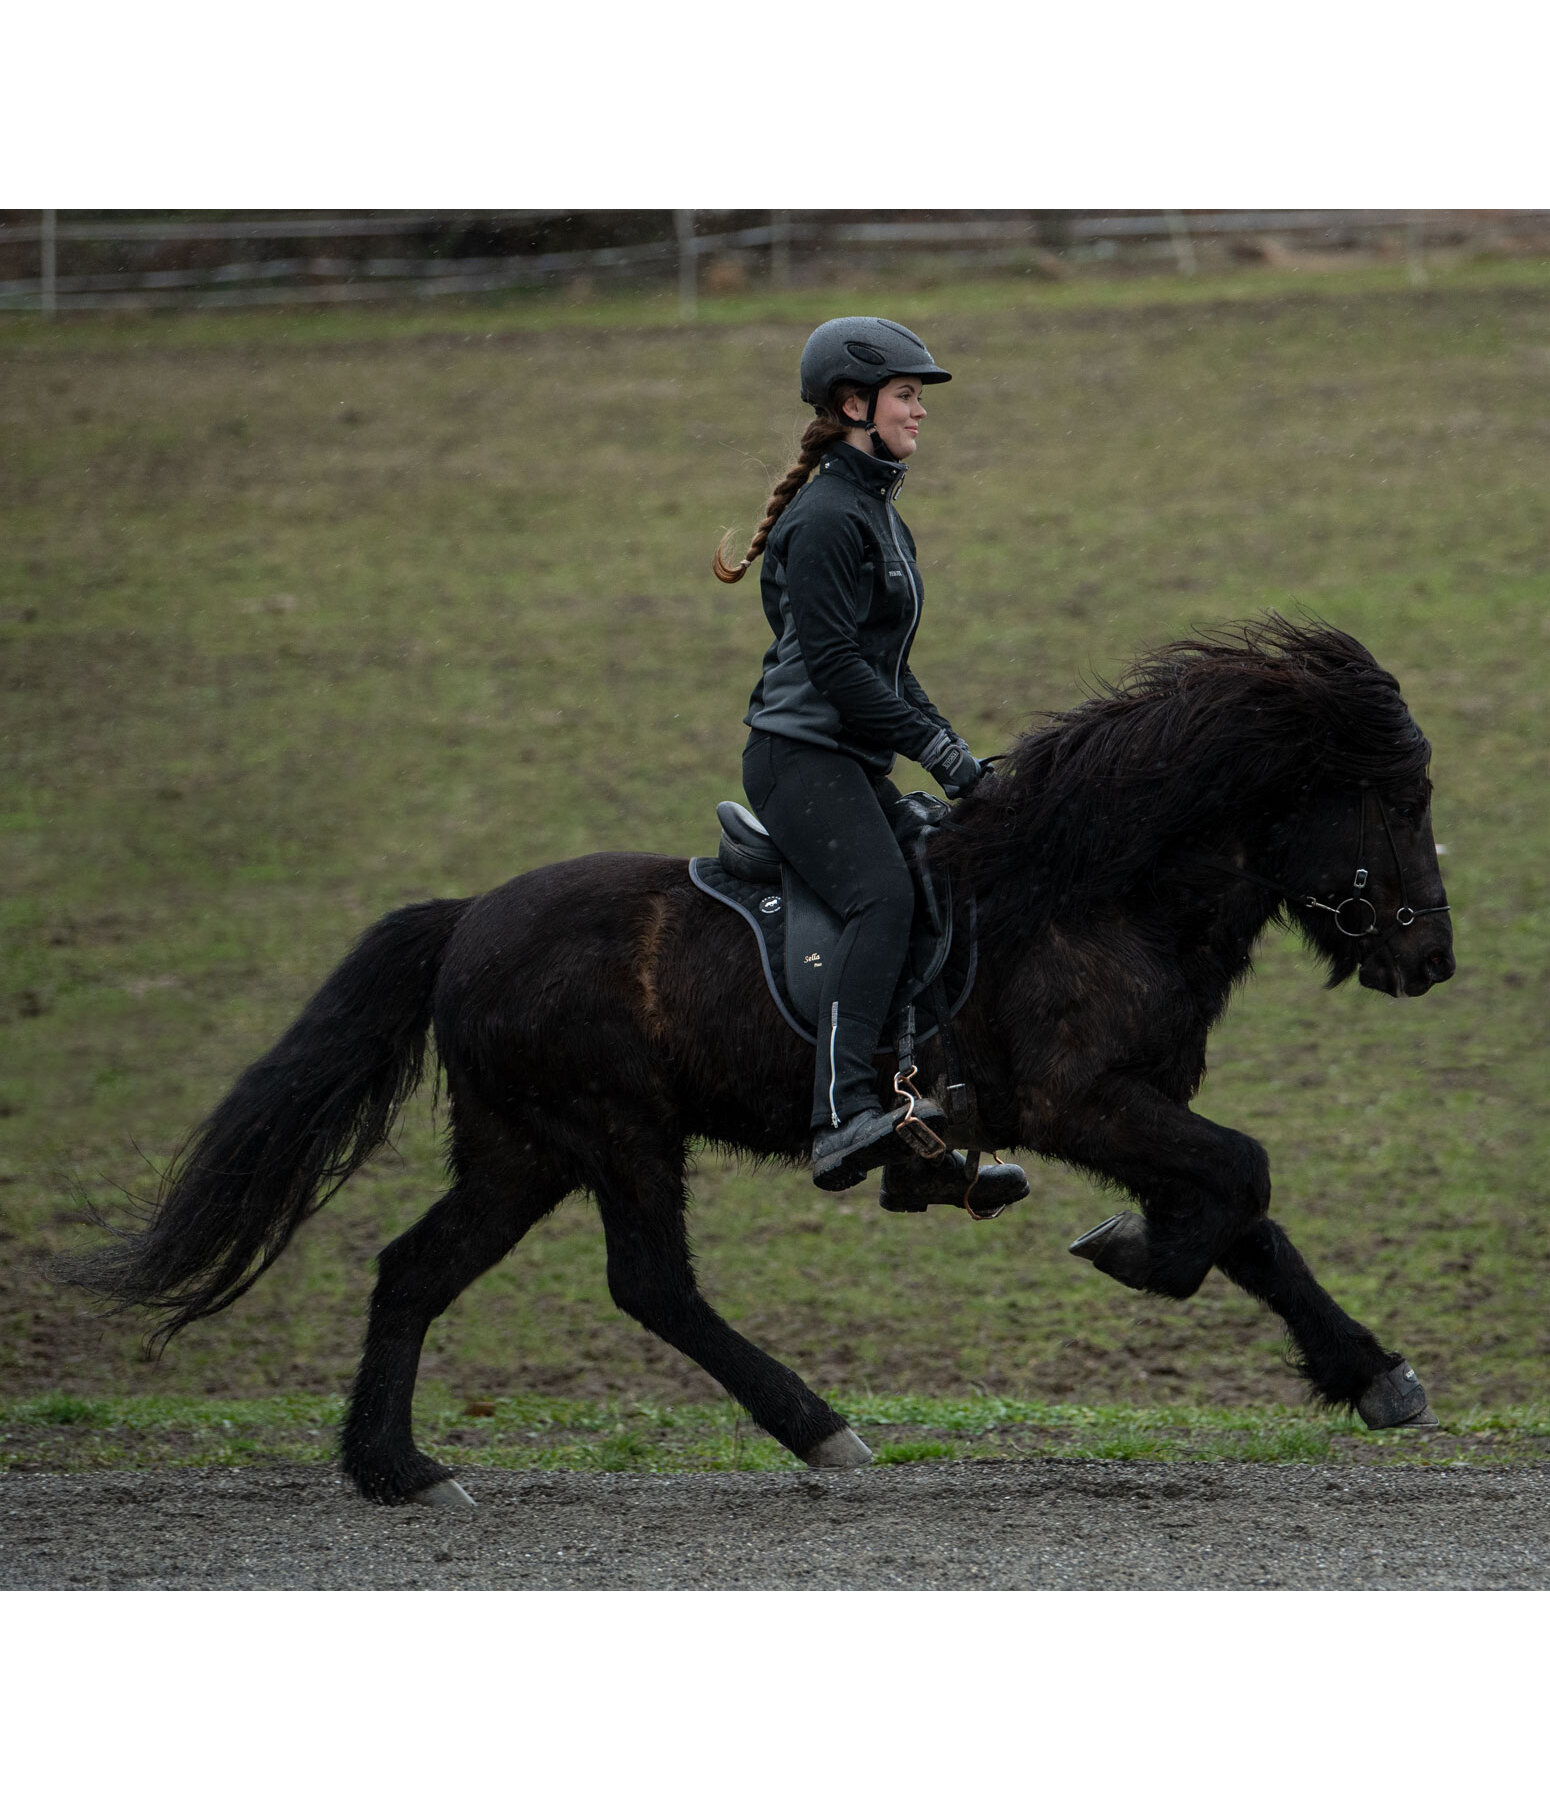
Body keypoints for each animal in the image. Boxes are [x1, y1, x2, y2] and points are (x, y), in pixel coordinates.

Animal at [57, 619, 1454, 1504]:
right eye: (1394, 802)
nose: (1432, 958)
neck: (1094, 884)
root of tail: (466, 921)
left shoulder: (1136, 1104)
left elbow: (1245, 1219)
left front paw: (1368, 1374)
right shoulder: (1084, 1101)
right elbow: (1238, 1183)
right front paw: (1136, 1255)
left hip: (523, 1150)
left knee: (414, 1271)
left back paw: (398, 1473)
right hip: (611, 1132)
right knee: (649, 1284)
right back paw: (819, 1431)